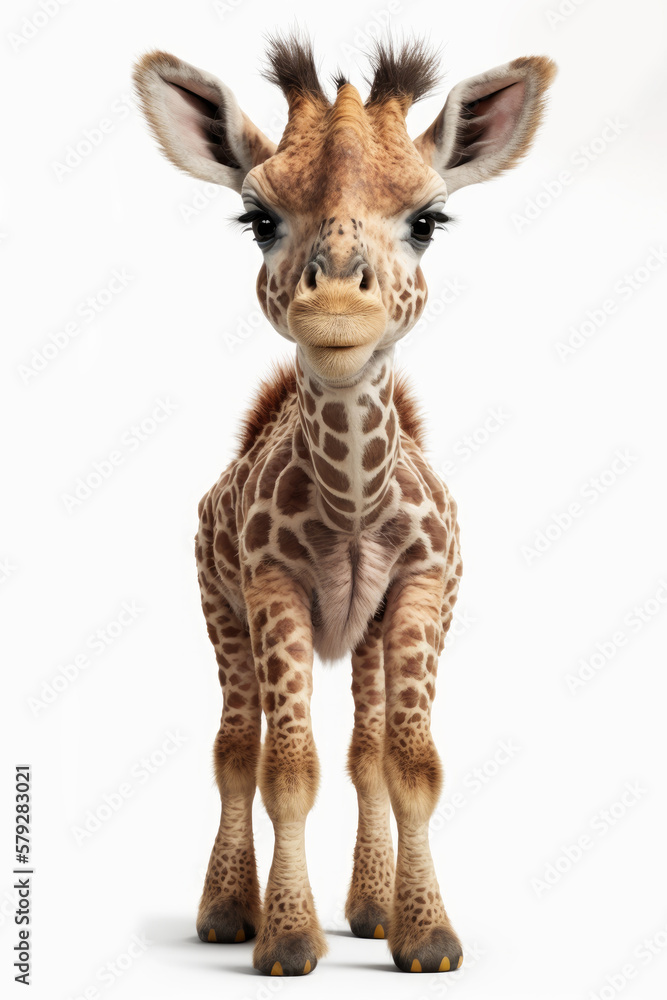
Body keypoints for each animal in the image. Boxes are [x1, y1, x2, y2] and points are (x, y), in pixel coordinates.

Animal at [133, 35, 556, 977]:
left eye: (428, 220)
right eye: (257, 218)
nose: (332, 307)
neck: (354, 507)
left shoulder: (421, 594)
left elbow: (408, 763)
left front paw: (423, 935)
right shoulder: (271, 592)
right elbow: (283, 768)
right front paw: (287, 939)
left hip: (361, 639)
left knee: (364, 753)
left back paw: (366, 909)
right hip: (219, 611)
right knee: (233, 749)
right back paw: (227, 911)